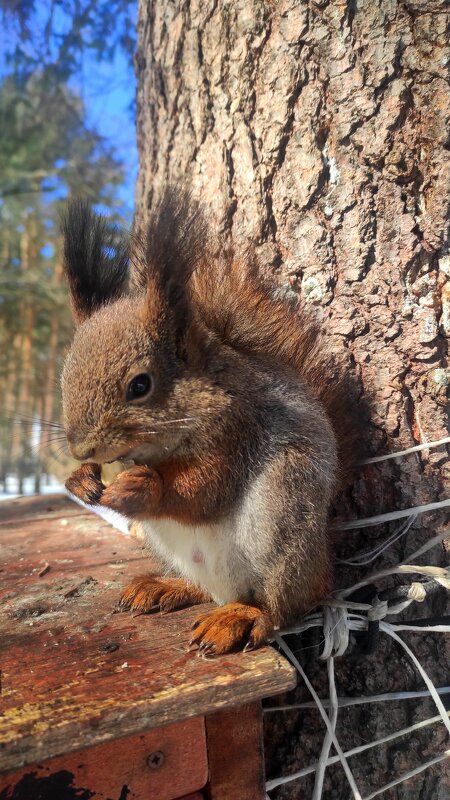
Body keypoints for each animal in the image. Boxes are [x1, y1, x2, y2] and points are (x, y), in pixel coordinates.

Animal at [60, 189, 362, 656]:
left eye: (140, 385)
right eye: (64, 375)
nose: (82, 449)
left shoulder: (238, 428)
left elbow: (203, 490)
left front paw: (143, 487)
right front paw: (81, 481)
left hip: (283, 516)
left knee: (284, 604)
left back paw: (242, 617)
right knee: (206, 589)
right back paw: (166, 587)